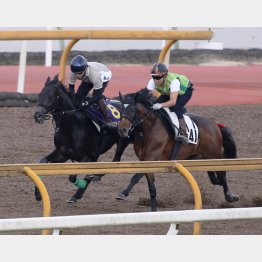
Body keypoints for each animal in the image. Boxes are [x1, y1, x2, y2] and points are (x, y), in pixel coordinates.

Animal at [33, 74, 132, 204]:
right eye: (39, 95)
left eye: (51, 96)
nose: (37, 116)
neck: (72, 125)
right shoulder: (62, 153)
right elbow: (42, 162)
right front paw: (38, 194)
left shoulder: (89, 157)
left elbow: (75, 176)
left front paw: (78, 192)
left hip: (123, 140)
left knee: (116, 161)